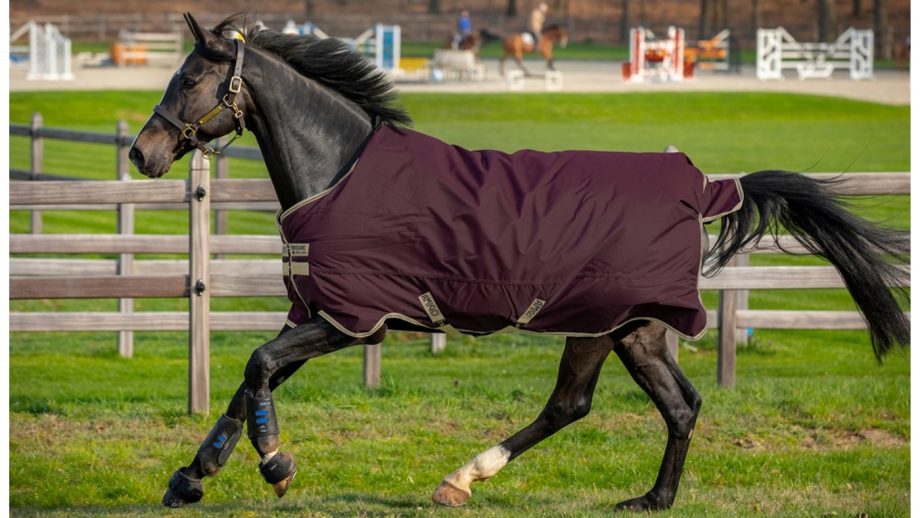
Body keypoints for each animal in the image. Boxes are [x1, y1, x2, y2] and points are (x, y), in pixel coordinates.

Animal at [130, 14, 910, 512]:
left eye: (191, 78)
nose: (143, 152)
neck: (341, 172)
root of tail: (704, 186)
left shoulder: (355, 320)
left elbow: (258, 365)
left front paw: (276, 464)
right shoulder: (322, 316)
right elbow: (248, 381)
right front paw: (191, 477)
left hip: (602, 323)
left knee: (580, 404)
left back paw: (467, 478)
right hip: (634, 330)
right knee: (671, 405)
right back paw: (645, 498)